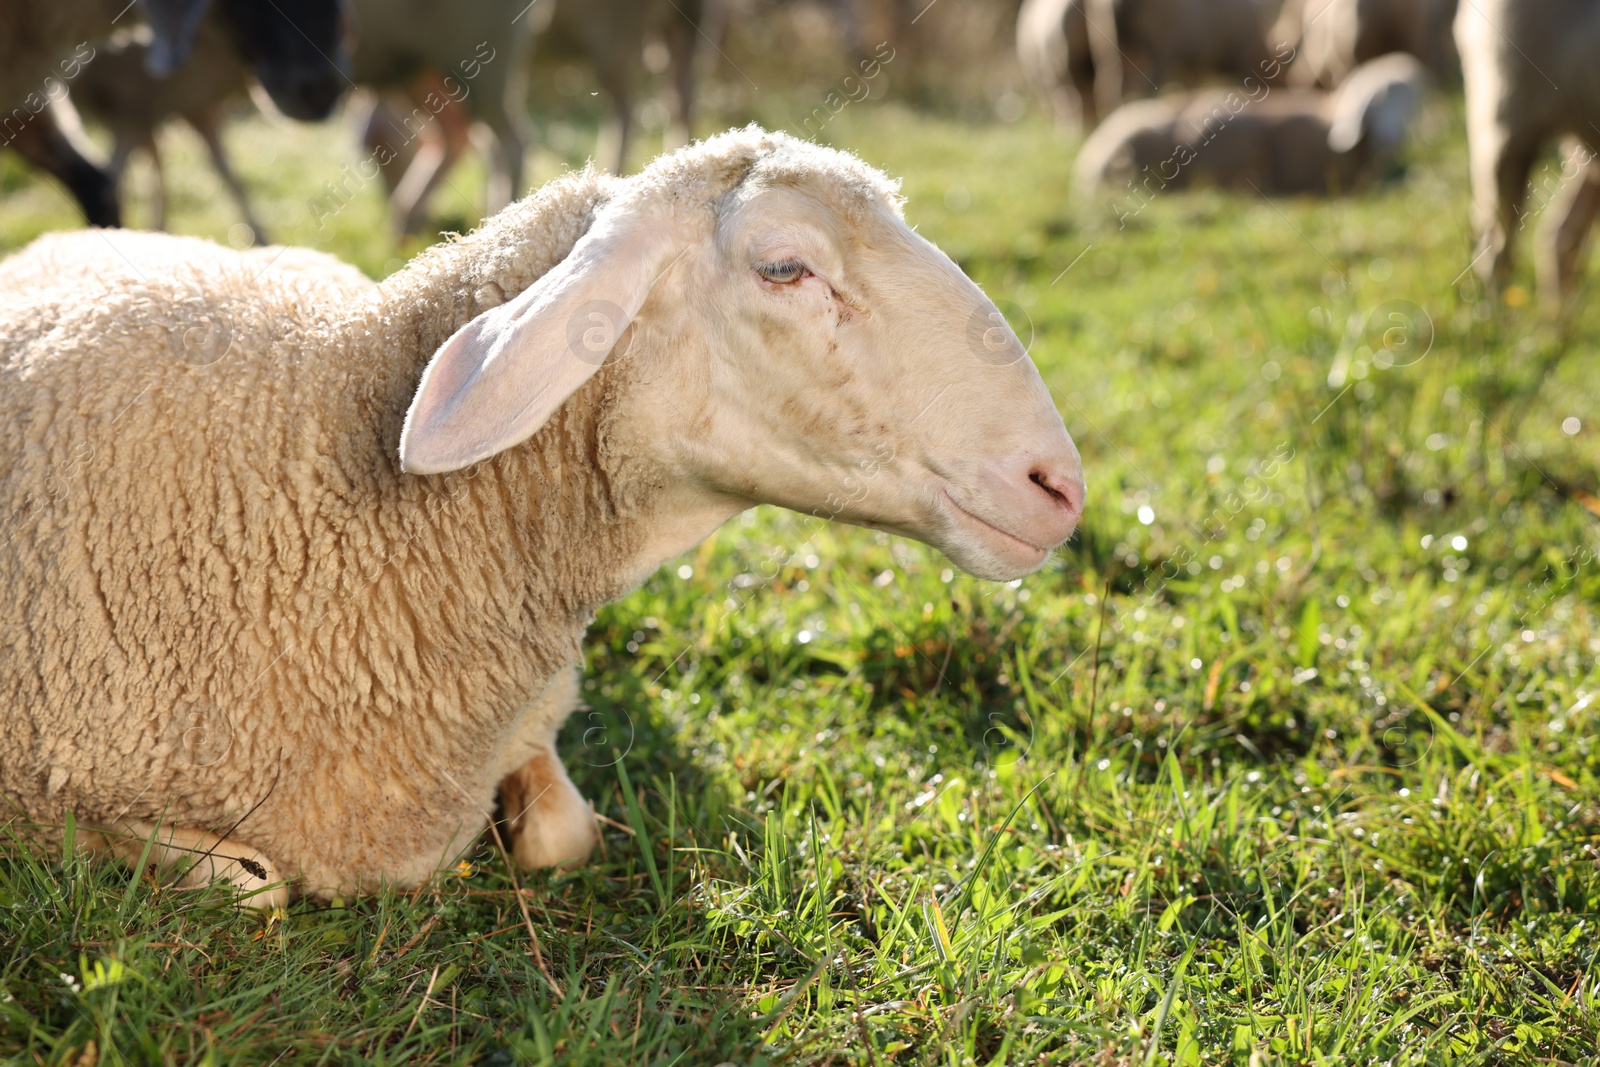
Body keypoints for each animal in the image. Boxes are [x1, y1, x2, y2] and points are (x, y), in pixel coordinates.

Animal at [0, 129, 1088, 908]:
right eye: (785, 268)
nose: (1060, 486)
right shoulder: (51, 800)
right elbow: (250, 886)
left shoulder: (535, 698)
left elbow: (565, 834)